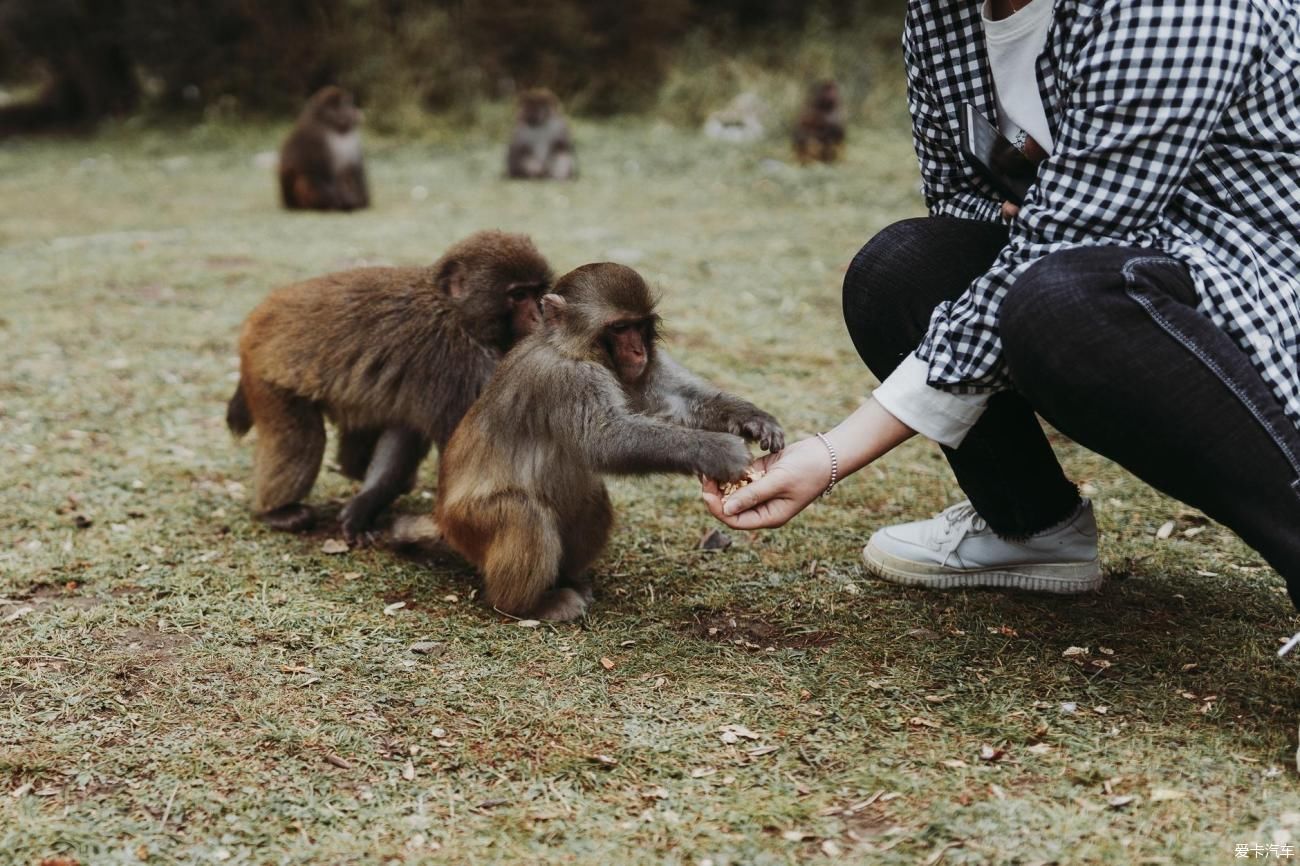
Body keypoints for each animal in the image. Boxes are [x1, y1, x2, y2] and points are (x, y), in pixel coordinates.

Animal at [228, 228, 553, 540]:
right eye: (519, 295)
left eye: (538, 292)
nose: (538, 314)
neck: (456, 312)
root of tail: (259, 314)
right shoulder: (454, 363)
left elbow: (405, 430)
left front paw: (365, 505)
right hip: (266, 372)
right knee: (301, 437)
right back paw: (277, 511)